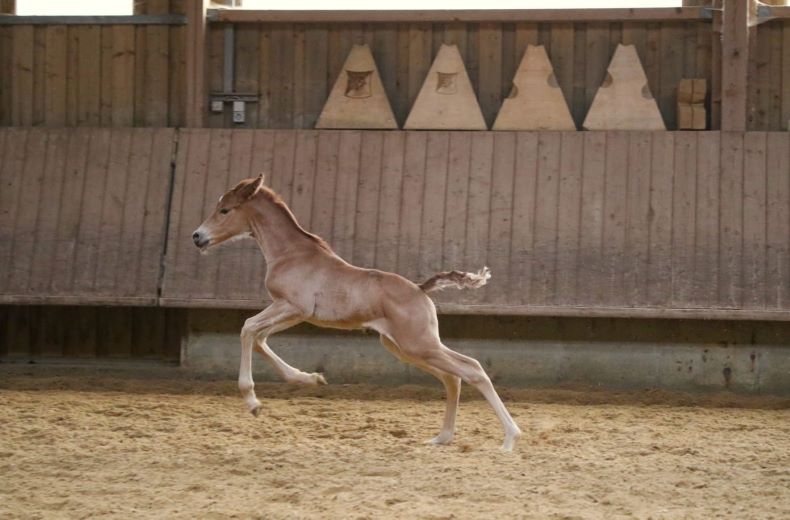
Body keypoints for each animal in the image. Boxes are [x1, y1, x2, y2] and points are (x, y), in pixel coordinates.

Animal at [193, 175, 524, 450]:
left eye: (225, 210)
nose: (197, 237)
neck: (292, 254)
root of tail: (420, 289)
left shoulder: (293, 306)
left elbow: (248, 328)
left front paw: (252, 401)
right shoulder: (292, 313)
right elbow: (260, 339)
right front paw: (311, 379)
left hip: (419, 344)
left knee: (473, 369)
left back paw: (510, 438)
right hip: (404, 348)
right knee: (452, 378)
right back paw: (442, 437)